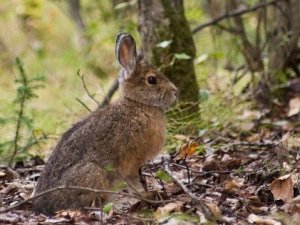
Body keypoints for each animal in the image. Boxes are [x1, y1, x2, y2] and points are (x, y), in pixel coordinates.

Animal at [33, 33, 177, 214]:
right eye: (151, 80)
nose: (175, 91)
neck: (138, 104)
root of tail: (41, 208)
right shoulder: (130, 162)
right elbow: (134, 183)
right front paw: (147, 195)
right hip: (94, 173)